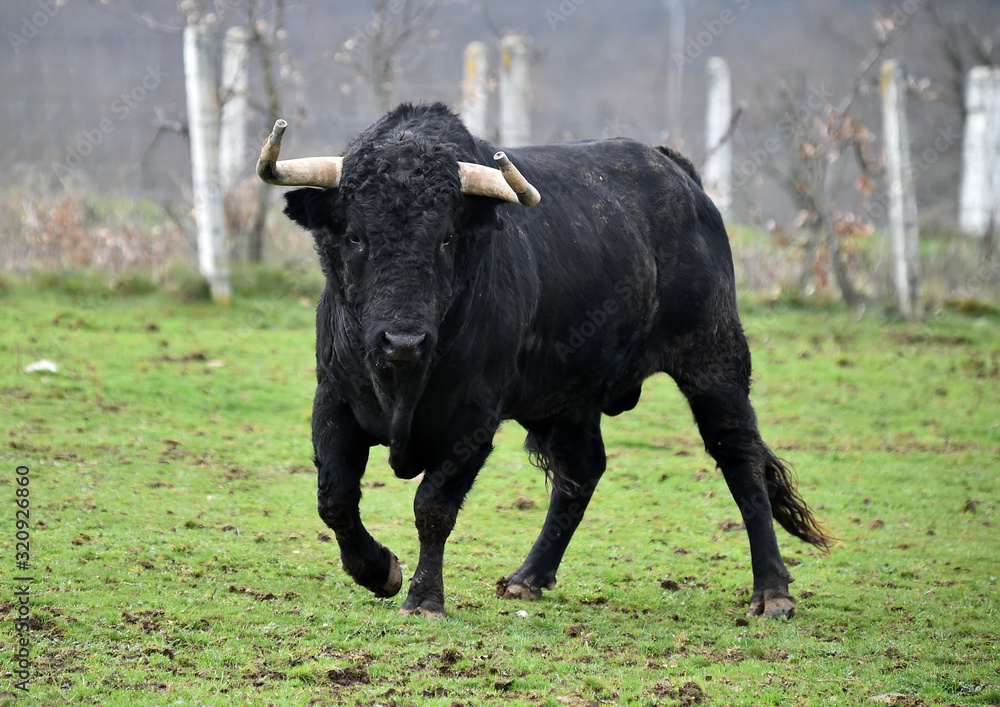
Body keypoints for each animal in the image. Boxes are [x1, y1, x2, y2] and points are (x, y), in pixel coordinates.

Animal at [268, 101, 828, 620]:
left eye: (446, 238)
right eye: (356, 236)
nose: (402, 340)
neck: (404, 384)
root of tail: (678, 174)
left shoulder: (473, 420)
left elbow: (433, 508)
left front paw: (424, 599)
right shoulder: (334, 399)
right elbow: (336, 499)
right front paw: (380, 570)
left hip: (716, 362)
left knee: (741, 459)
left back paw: (772, 593)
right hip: (569, 399)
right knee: (582, 471)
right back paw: (528, 577)